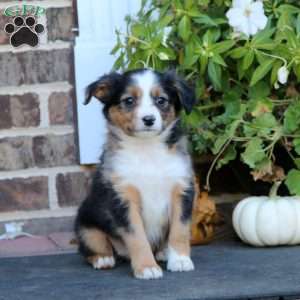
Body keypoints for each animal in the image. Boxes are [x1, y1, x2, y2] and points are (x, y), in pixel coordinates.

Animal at [75, 68, 197, 278]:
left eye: (161, 100)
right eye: (129, 100)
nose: (149, 119)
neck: (147, 149)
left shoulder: (182, 189)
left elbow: (180, 230)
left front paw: (180, 260)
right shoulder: (123, 197)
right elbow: (137, 237)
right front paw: (147, 267)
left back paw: (164, 252)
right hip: (85, 223)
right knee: (91, 245)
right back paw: (103, 258)